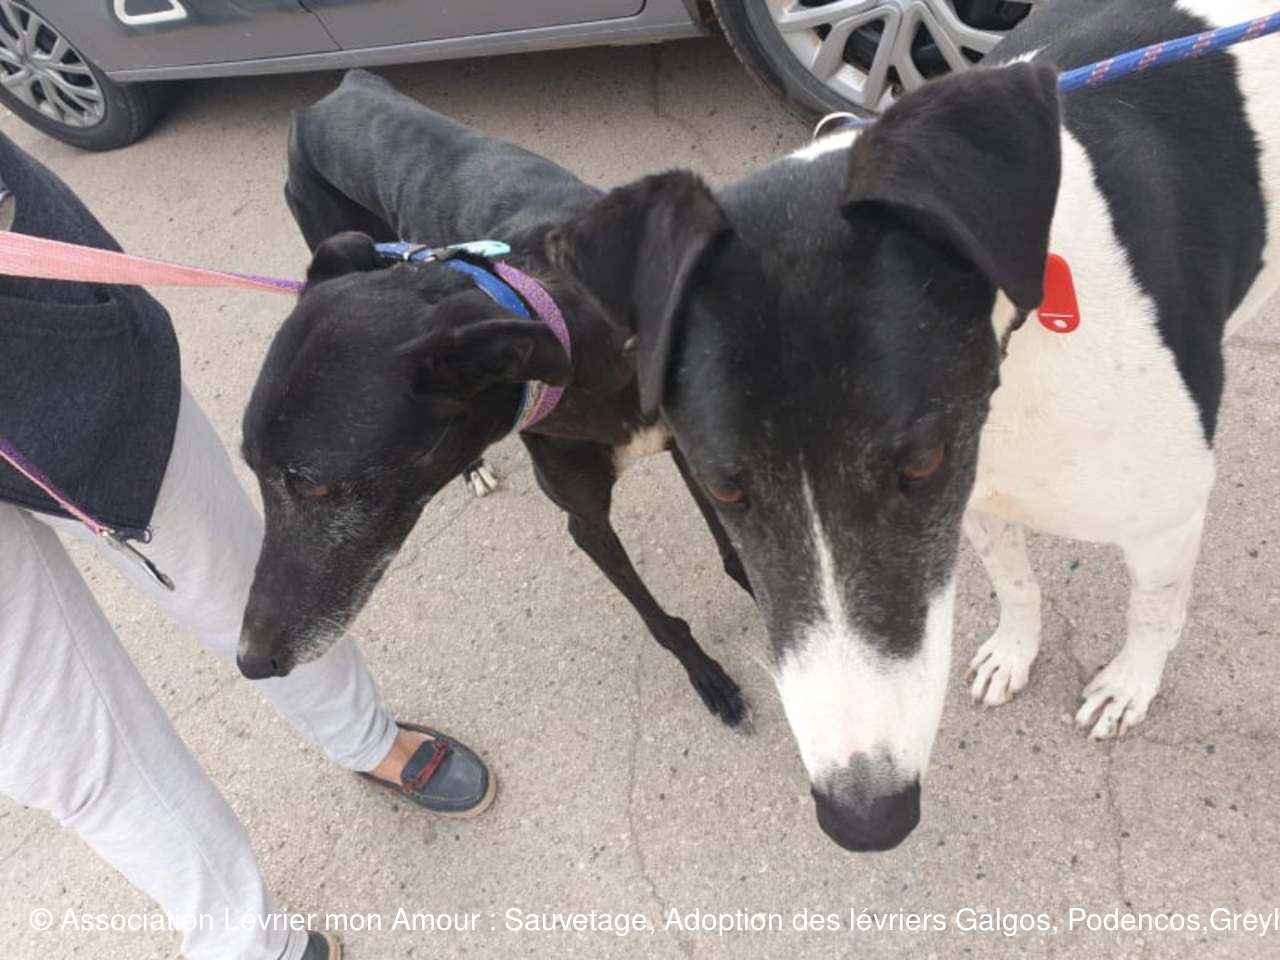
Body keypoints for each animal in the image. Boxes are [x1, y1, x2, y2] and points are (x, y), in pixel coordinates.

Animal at [237, 69, 752, 728]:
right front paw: (705, 674)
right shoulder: (586, 522)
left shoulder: (690, 455)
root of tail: (336, 92)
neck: (554, 315)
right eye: (253, 469)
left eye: (315, 487)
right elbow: (659, 620)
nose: (251, 661)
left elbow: (734, 550)